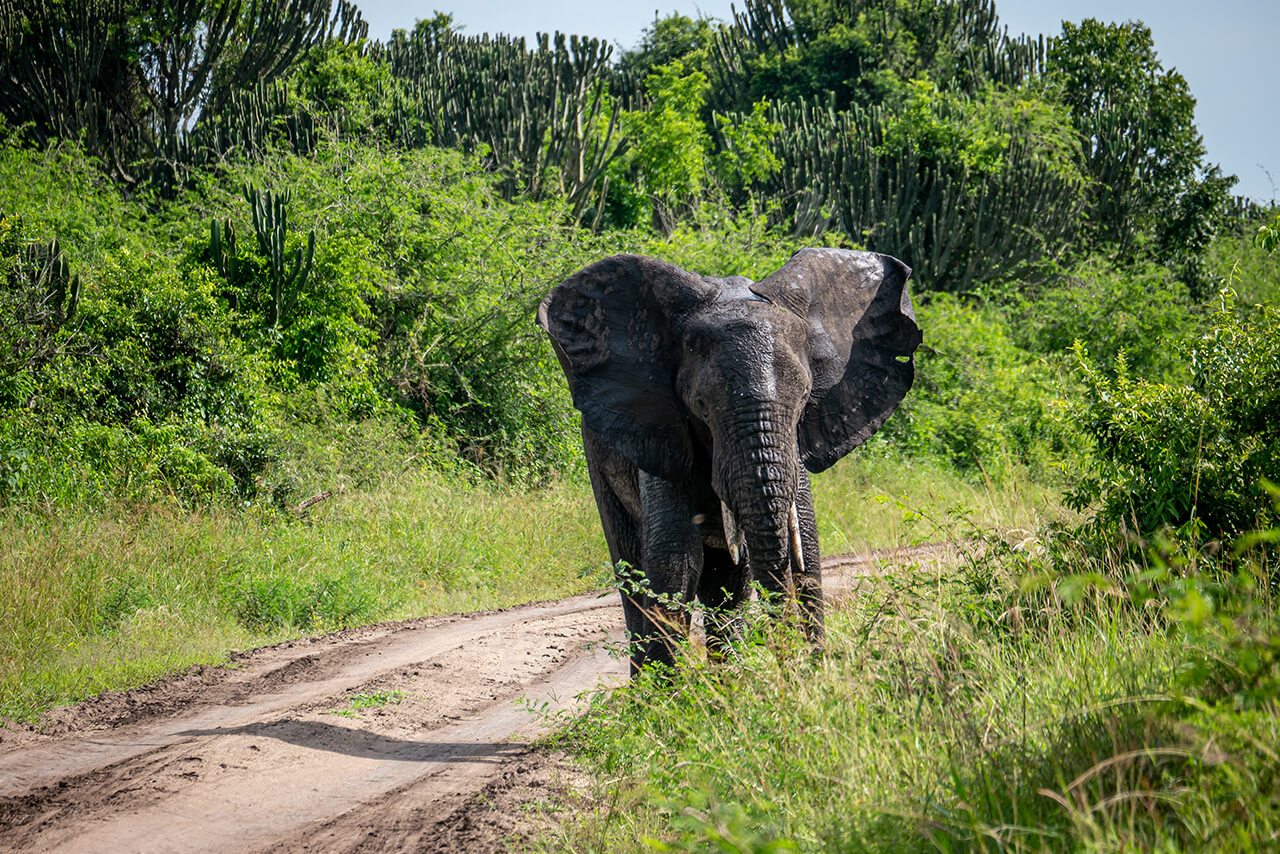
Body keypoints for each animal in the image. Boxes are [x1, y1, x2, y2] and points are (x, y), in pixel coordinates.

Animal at [532, 248, 921, 676]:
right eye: (701, 406)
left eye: (805, 399)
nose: (793, 665)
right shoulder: (663, 429)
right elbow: (676, 558)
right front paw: (669, 692)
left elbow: (806, 546)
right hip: (596, 454)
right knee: (632, 566)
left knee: (728, 579)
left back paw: (727, 678)